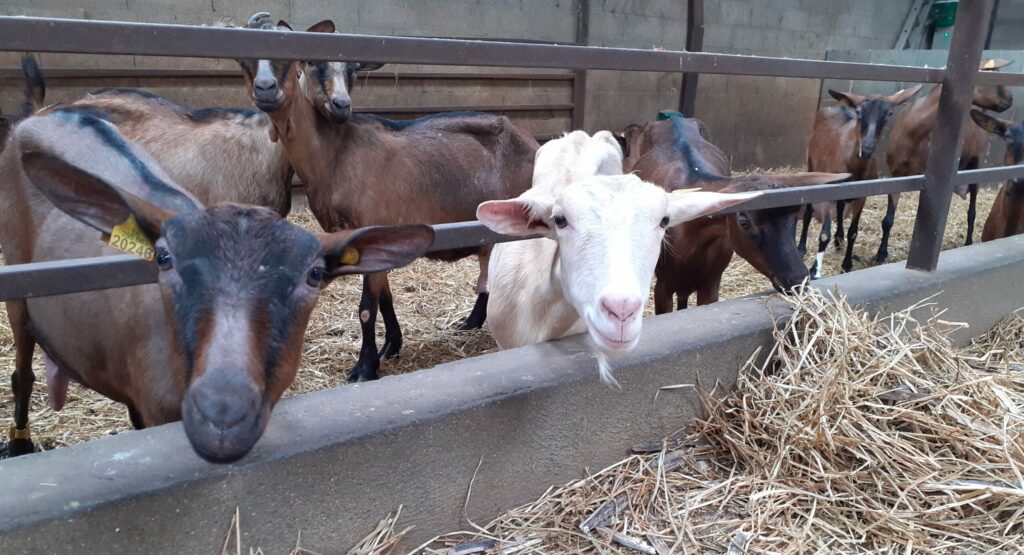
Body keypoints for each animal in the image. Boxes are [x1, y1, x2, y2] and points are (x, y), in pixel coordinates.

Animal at [1, 108, 433, 462]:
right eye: (164, 257)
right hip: (17, 282)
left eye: (313, 274)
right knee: (22, 371)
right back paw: (20, 444)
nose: (222, 412)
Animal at [237, 13, 538, 381]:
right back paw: (472, 321)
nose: (267, 91)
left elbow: (367, 307)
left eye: (353, 69)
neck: (338, 153)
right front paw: (391, 346)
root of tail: (533, 143)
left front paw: (364, 367)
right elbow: (384, 298)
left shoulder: (371, 225)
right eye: (312, 63)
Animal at [799, 86, 921, 278]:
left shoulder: (862, 195)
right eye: (858, 112)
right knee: (807, 213)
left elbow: (853, 232)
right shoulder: (828, 191)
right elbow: (824, 234)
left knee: (841, 206)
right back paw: (801, 248)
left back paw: (839, 239)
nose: (867, 147)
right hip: (812, 168)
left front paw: (847, 264)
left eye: (889, 113)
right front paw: (815, 271)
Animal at [883, 58, 1014, 262]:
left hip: (975, 164)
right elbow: (888, 219)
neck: (912, 133)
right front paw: (881, 254)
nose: (1011, 99)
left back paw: (968, 243)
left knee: (972, 211)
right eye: (991, 76)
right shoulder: (896, 174)